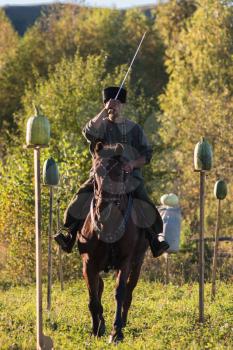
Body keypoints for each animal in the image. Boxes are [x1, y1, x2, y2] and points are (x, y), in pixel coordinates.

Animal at [76, 144, 149, 344]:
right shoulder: (88, 263)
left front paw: (116, 333)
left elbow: (119, 292)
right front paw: (96, 329)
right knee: (99, 287)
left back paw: (122, 322)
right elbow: (93, 296)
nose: (104, 208)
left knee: (129, 292)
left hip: (137, 264)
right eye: (96, 171)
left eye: (121, 172)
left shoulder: (125, 262)